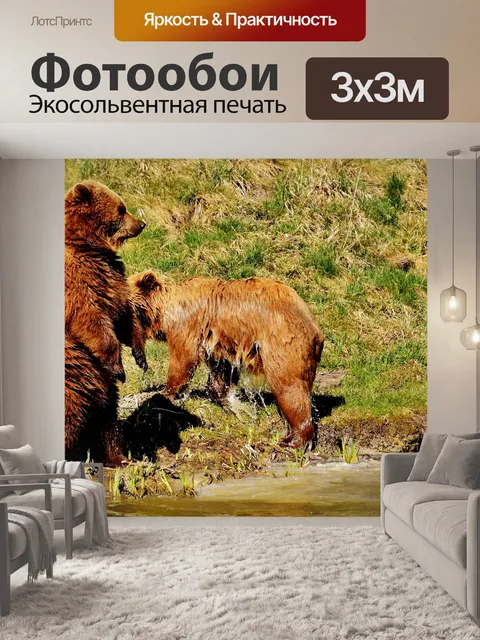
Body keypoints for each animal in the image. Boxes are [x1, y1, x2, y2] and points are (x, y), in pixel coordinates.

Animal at [65, 180, 148, 462]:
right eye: (121, 210)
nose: (142, 224)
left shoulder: (111, 278)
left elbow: (123, 315)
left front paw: (140, 356)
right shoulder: (78, 279)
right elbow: (91, 318)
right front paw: (117, 366)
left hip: (97, 384)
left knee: (107, 416)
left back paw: (119, 457)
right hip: (73, 376)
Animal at [129, 272, 325, 449]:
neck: (163, 312)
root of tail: (316, 330)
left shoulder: (188, 325)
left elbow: (183, 359)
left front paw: (165, 392)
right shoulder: (219, 342)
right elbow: (222, 371)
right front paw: (233, 403)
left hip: (283, 342)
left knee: (289, 387)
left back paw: (292, 439)